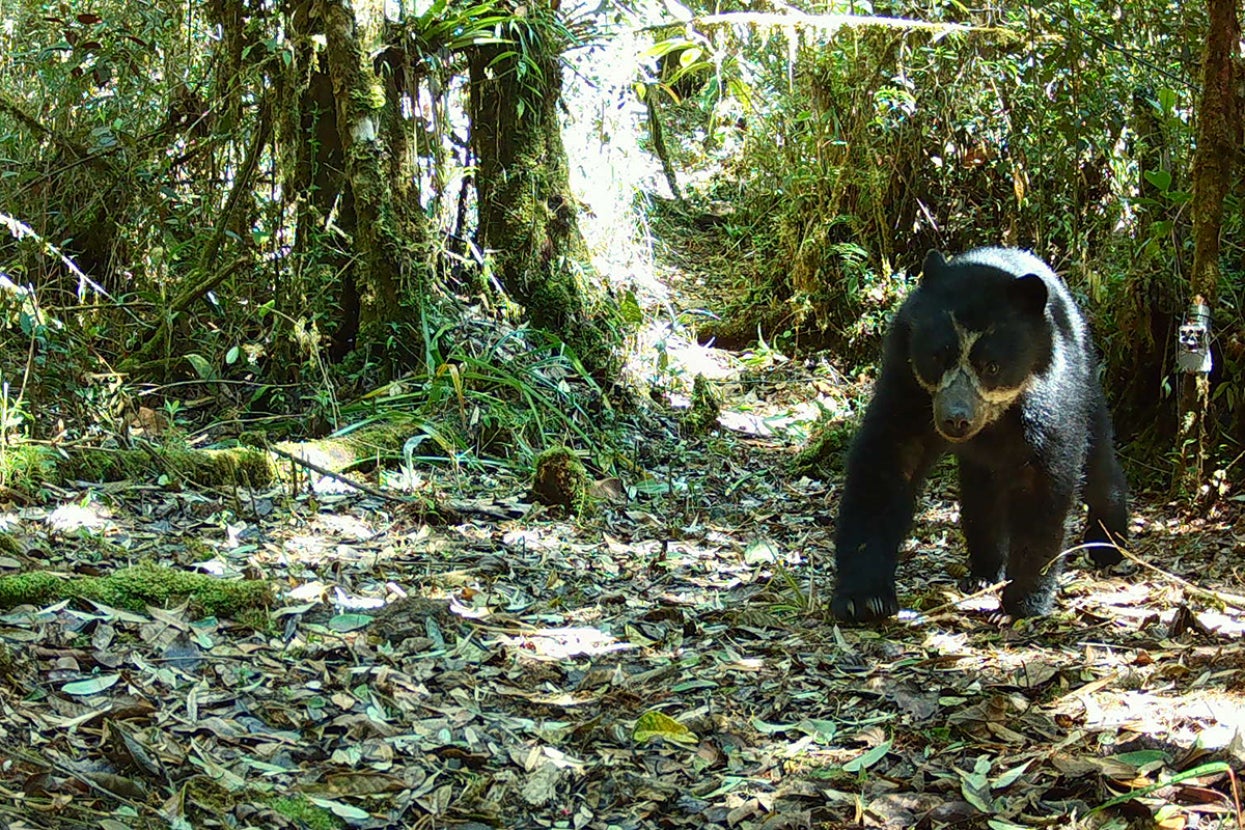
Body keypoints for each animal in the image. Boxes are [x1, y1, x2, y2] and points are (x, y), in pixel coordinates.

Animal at [831, 247, 1129, 621]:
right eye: (935, 357)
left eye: (992, 366)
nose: (956, 419)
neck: (996, 419)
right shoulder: (906, 385)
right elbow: (887, 464)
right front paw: (864, 600)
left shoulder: (1050, 396)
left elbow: (1043, 485)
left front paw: (1020, 605)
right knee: (981, 499)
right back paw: (984, 573)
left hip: (1087, 376)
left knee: (1098, 462)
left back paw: (1109, 547)